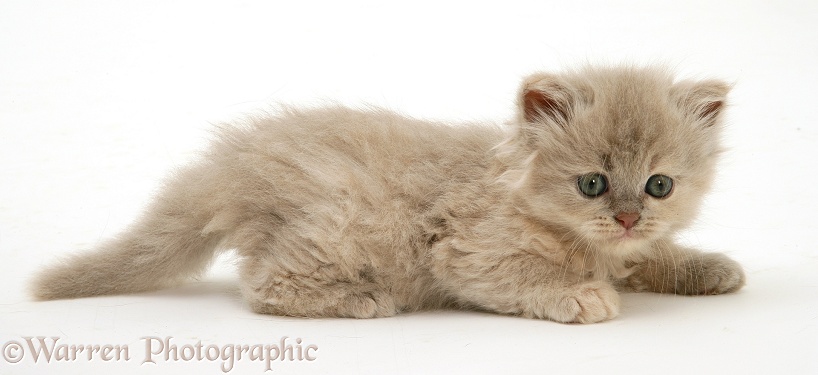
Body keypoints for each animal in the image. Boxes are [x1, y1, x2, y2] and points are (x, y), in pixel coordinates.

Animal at [31, 64, 744, 324]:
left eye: (658, 186)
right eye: (592, 183)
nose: (625, 218)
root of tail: (234, 164)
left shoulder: (633, 246)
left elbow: (654, 256)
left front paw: (710, 267)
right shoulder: (466, 253)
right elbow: (526, 275)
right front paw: (580, 294)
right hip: (344, 226)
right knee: (262, 286)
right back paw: (366, 299)